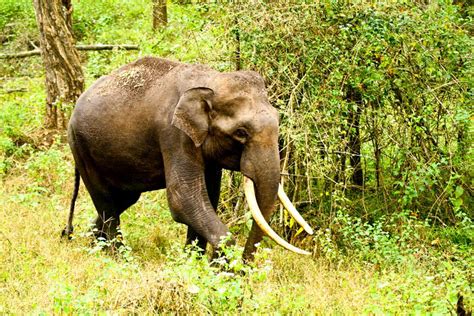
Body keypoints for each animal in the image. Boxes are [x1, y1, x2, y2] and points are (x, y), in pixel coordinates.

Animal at [64, 57, 314, 262]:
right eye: (241, 133)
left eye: (278, 119)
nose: (243, 271)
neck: (211, 80)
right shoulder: (174, 133)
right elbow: (183, 198)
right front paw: (219, 268)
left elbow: (208, 196)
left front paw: (194, 263)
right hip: (80, 146)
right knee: (107, 203)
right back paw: (118, 258)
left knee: (122, 200)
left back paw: (93, 246)